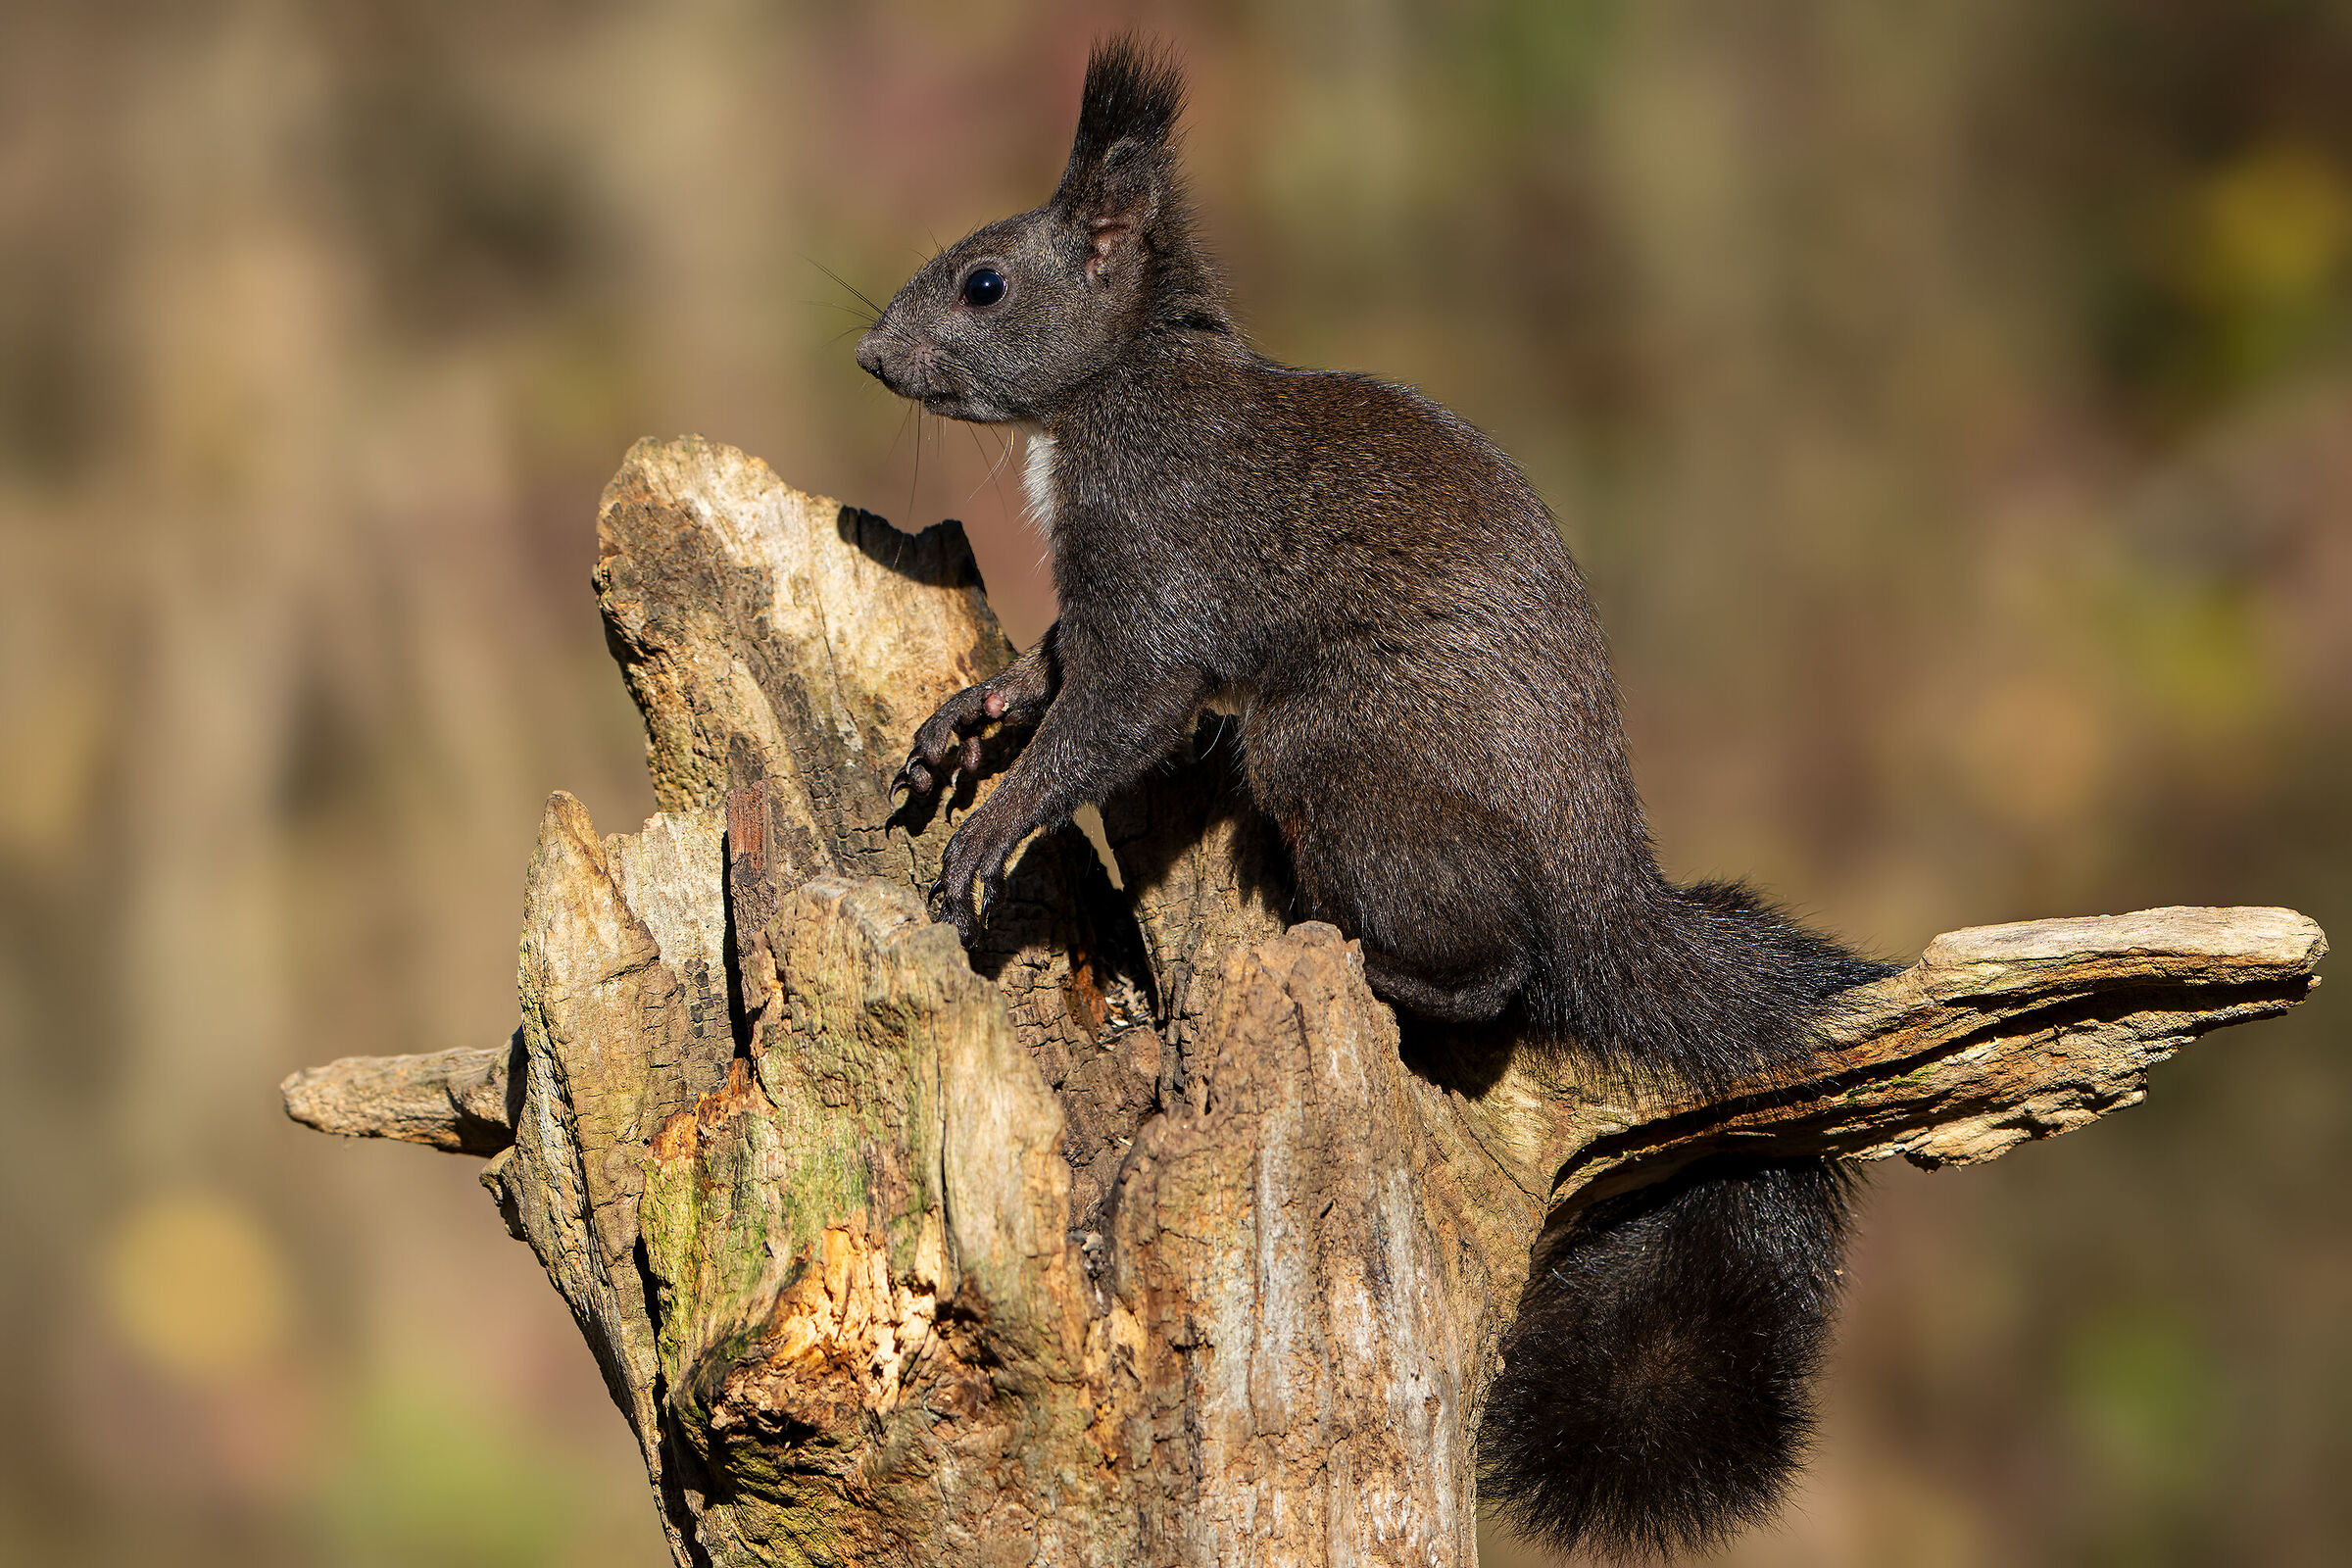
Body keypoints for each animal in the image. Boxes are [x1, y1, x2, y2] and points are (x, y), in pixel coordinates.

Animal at [856, 36, 1896, 1562]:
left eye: (984, 283)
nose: (871, 355)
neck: (1117, 393)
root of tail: (1598, 872)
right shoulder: (1106, 602)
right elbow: (1049, 675)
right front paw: (961, 726)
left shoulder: (1163, 571)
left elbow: (1119, 712)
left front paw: (996, 823)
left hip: (1336, 762)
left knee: (1501, 974)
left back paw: (1372, 959)